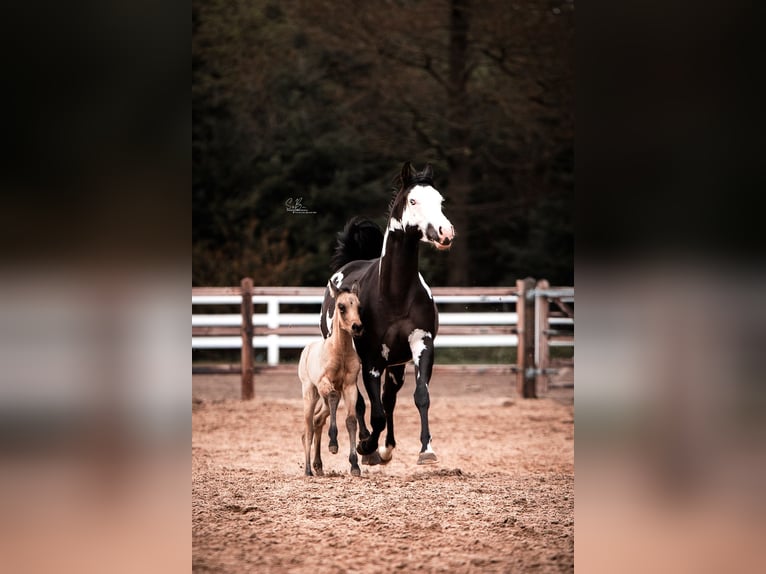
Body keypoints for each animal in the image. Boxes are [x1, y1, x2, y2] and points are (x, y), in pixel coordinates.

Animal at [299, 282, 363, 476]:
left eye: (359, 307)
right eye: (341, 307)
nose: (357, 327)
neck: (340, 351)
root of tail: (307, 348)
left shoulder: (350, 386)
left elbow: (351, 420)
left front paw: (355, 465)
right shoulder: (324, 382)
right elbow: (334, 396)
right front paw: (333, 444)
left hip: (323, 399)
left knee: (318, 421)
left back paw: (318, 466)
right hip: (311, 392)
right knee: (309, 428)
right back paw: (308, 470)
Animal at [320, 162, 455, 465]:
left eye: (440, 201)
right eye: (413, 200)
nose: (445, 232)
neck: (394, 294)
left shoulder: (421, 344)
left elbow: (420, 396)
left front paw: (426, 450)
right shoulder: (371, 359)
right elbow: (375, 412)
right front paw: (366, 447)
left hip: (395, 366)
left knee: (389, 398)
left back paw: (386, 448)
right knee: (359, 402)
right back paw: (367, 448)